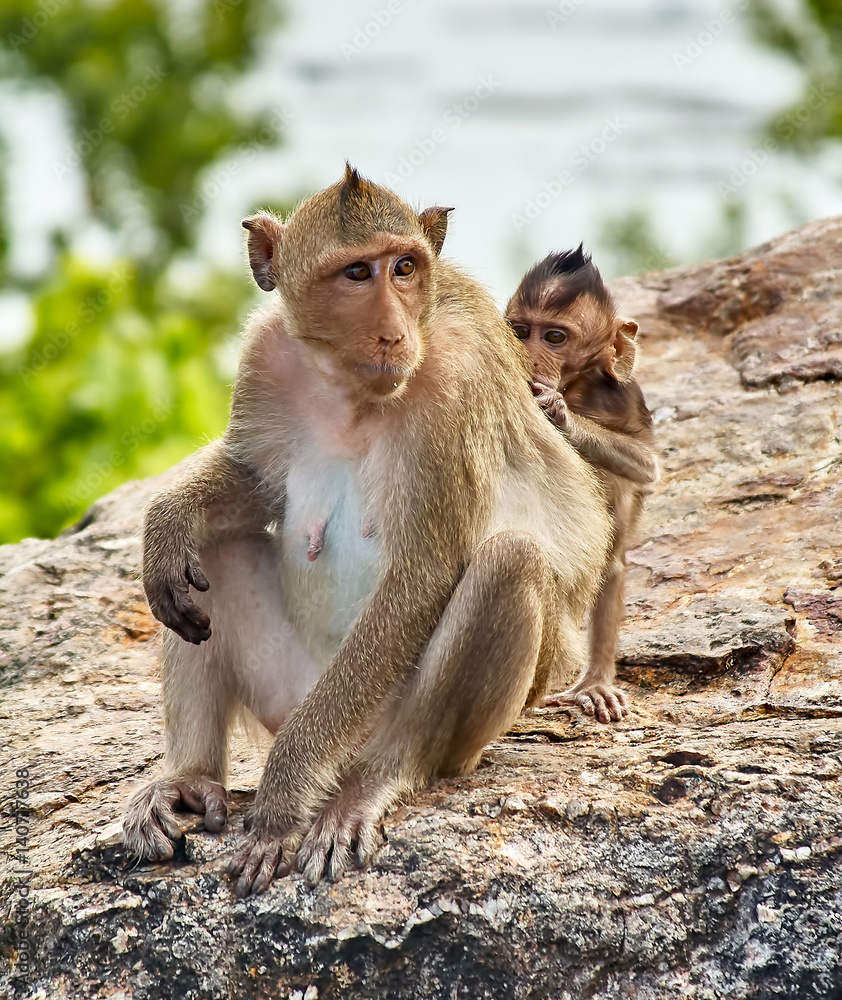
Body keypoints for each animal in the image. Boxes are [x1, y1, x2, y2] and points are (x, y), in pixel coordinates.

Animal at [122, 166, 612, 895]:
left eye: (403, 268)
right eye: (357, 273)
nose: (392, 333)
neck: (351, 391)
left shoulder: (452, 387)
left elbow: (421, 578)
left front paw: (283, 799)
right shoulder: (266, 355)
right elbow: (250, 480)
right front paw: (166, 520)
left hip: (382, 721)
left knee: (509, 564)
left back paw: (374, 780)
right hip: (288, 687)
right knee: (212, 555)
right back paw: (188, 778)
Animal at [505, 246, 659, 724]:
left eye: (554, 337)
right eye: (521, 331)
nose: (526, 356)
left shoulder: (625, 396)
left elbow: (647, 465)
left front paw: (558, 413)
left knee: (611, 561)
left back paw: (593, 683)